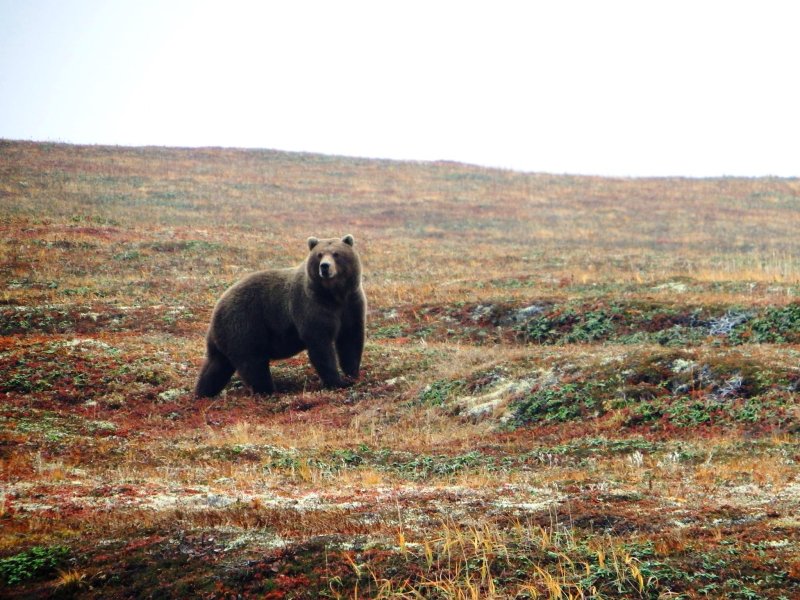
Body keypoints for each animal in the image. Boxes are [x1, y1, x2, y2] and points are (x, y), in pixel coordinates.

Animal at [195, 236, 368, 398]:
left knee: (216, 366)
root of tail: (217, 307)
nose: (324, 266)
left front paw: (352, 374)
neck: (334, 295)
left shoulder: (351, 304)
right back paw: (268, 391)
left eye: (336, 254)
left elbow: (350, 339)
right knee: (253, 363)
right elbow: (320, 344)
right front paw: (337, 382)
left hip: (224, 336)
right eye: (319, 255)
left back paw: (202, 393)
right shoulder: (311, 305)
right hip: (244, 325)